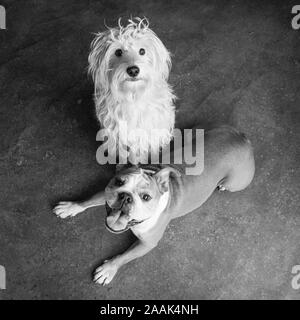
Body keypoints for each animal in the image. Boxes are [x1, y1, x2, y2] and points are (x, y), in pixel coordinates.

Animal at [87, 17, 176, 162]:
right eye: (118, 52)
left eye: (142, 51)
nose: (133, 70)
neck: (133, 94)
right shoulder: (117, 134)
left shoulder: (149, 132)